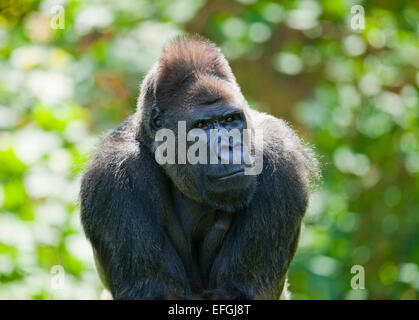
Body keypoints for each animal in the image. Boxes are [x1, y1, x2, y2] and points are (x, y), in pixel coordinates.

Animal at [80, 37, 320, 300]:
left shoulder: (281, 158)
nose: (228, 146)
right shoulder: (114, 174)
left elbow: (239, 289)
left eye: (230, 120)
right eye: (202, 125)